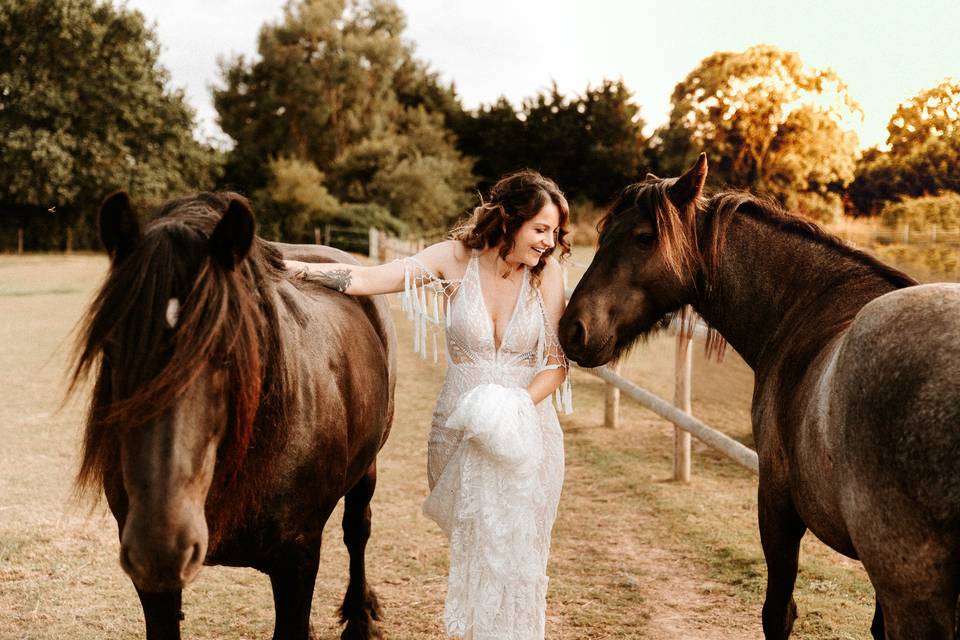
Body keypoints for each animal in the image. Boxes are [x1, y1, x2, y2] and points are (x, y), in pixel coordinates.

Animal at [69, 191, 396, 640]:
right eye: (112, 348)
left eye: (227, 351)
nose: (159, 546)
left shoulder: (297, 562)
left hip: (368, 469)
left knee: (357, 531)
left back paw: (360, 618)